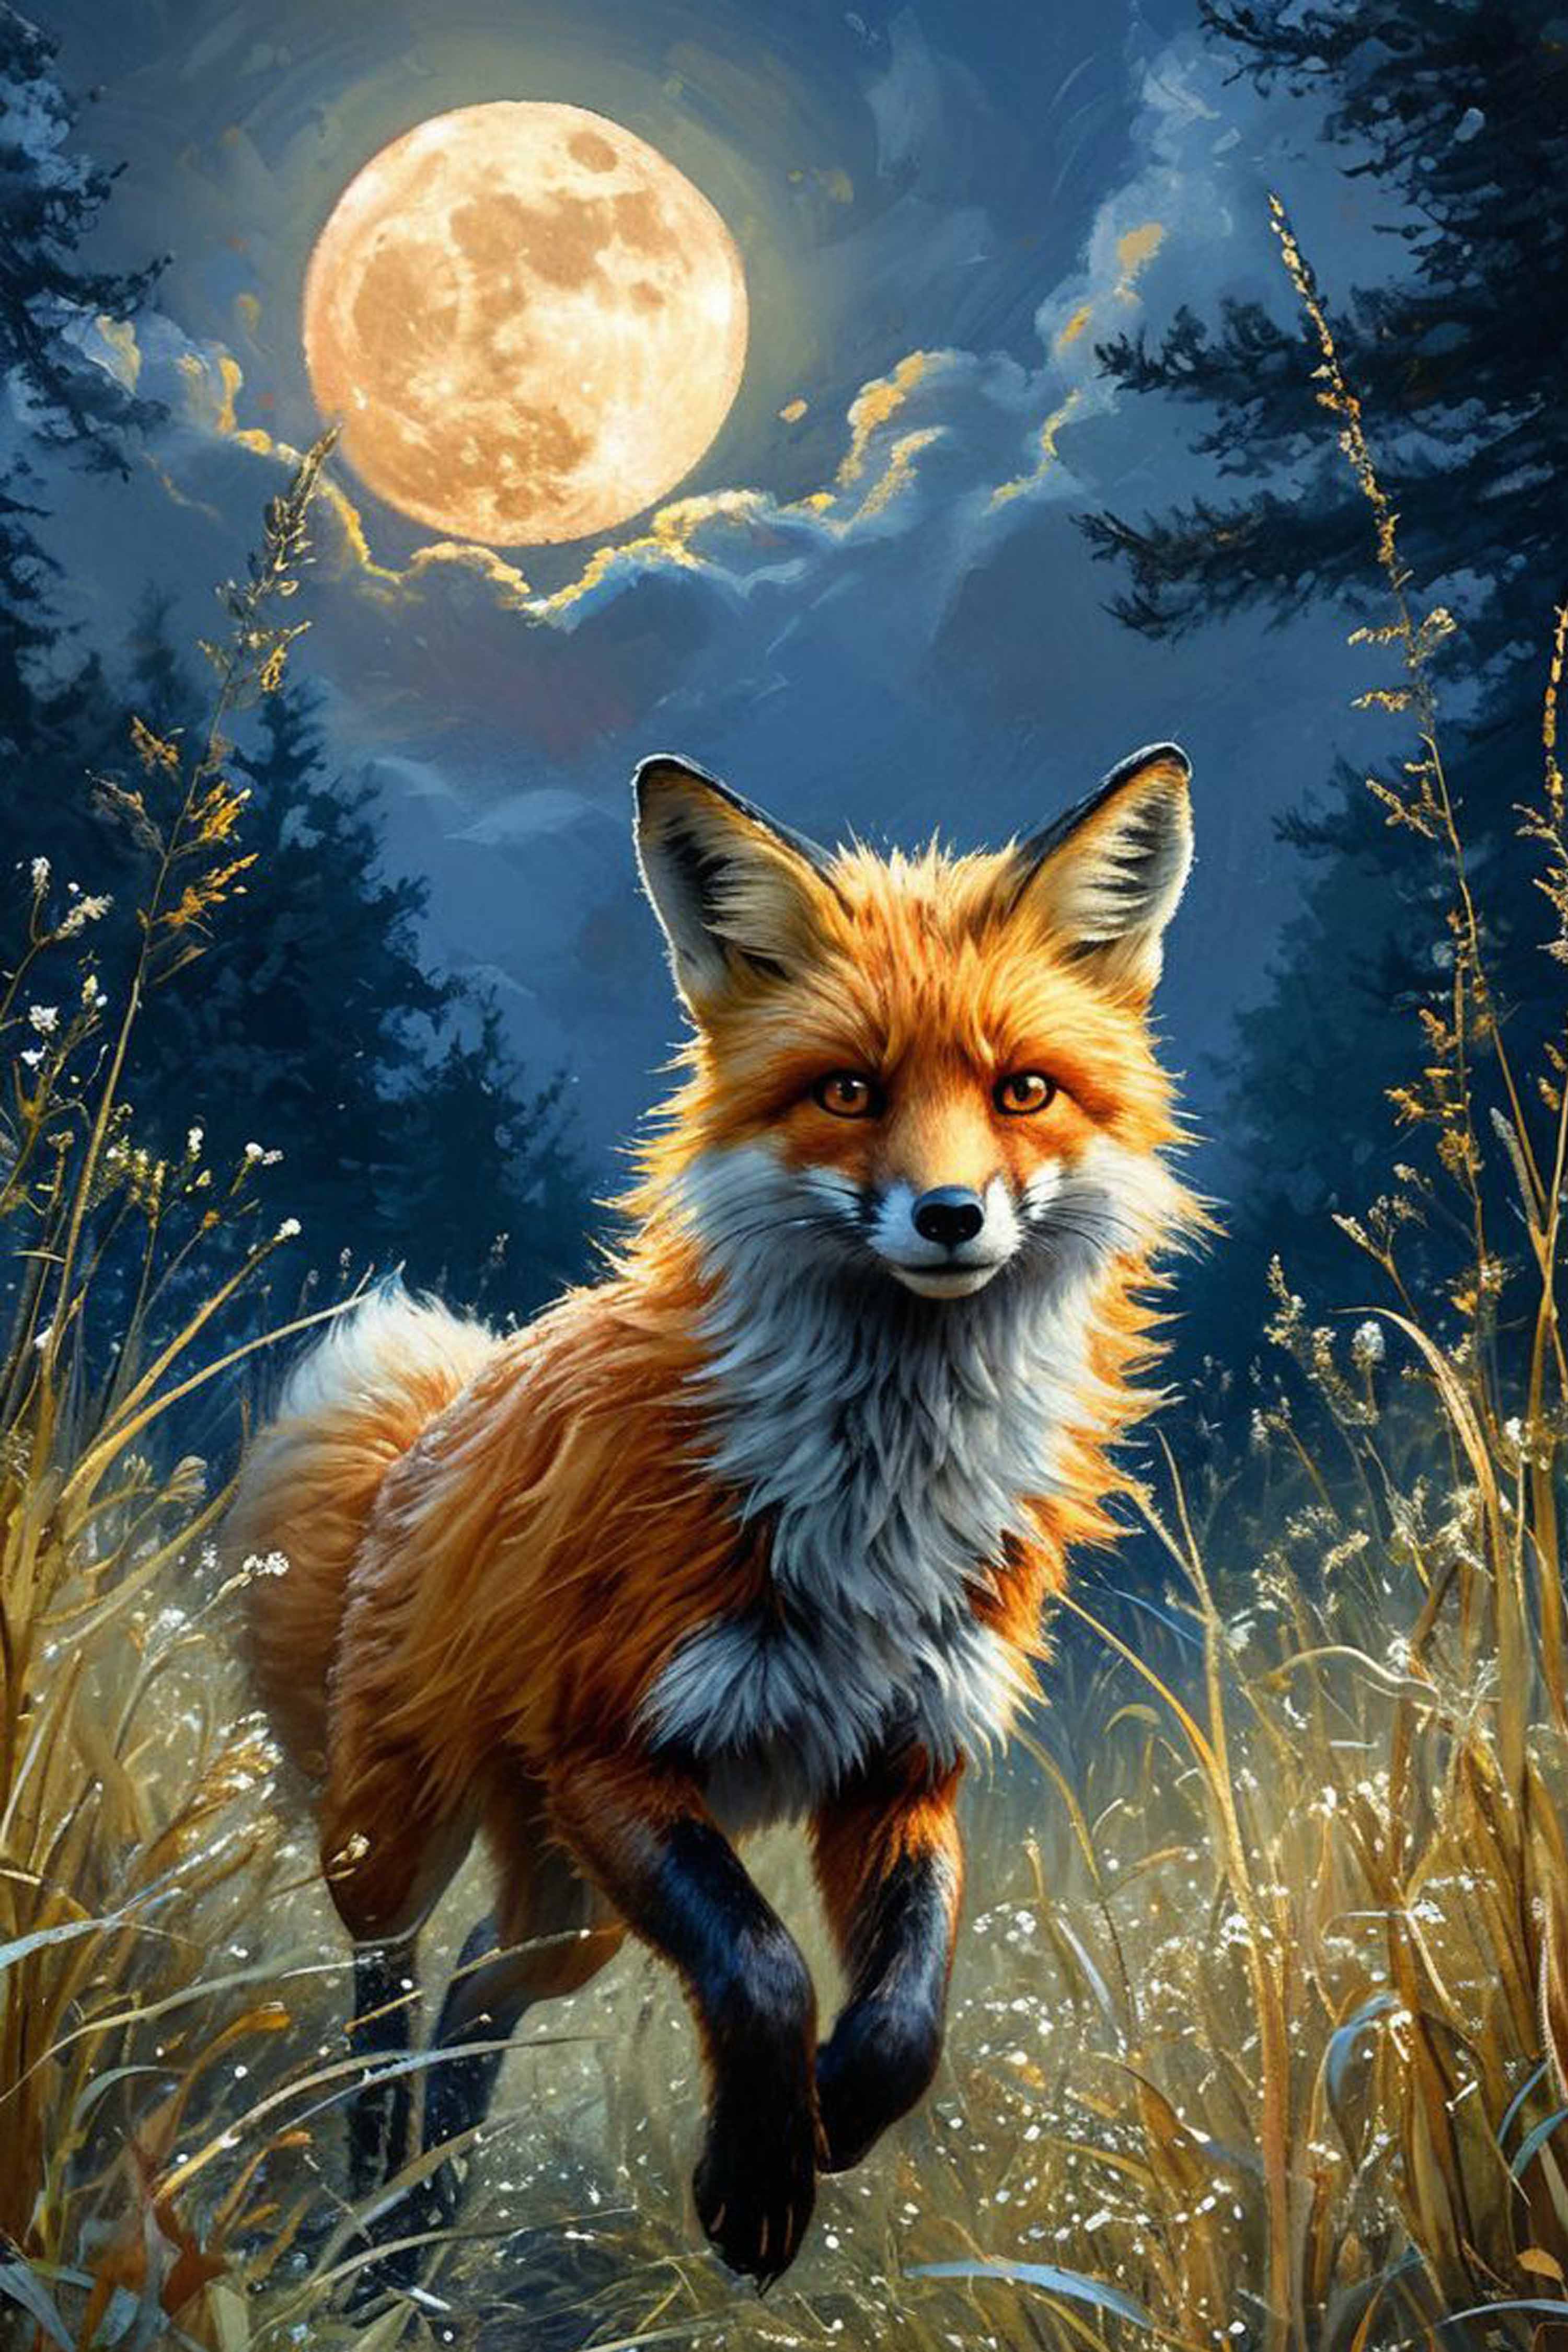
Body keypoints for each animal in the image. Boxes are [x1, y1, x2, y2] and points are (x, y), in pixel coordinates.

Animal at [228, 741, 1197, 2289]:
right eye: (849, 1090)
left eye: (1024, 1089)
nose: (949, 1214)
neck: (874, 1507)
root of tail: (437, 1417)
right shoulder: (609, 1748)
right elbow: (762, 1965)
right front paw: (757, 2180)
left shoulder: (903, 1764)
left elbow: (908, 2007)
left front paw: (834, 2112)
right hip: (405, 1824)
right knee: (384, 1993)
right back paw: (372, 2222)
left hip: (568, 1901)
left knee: (478, 1989)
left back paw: (426, 2226)